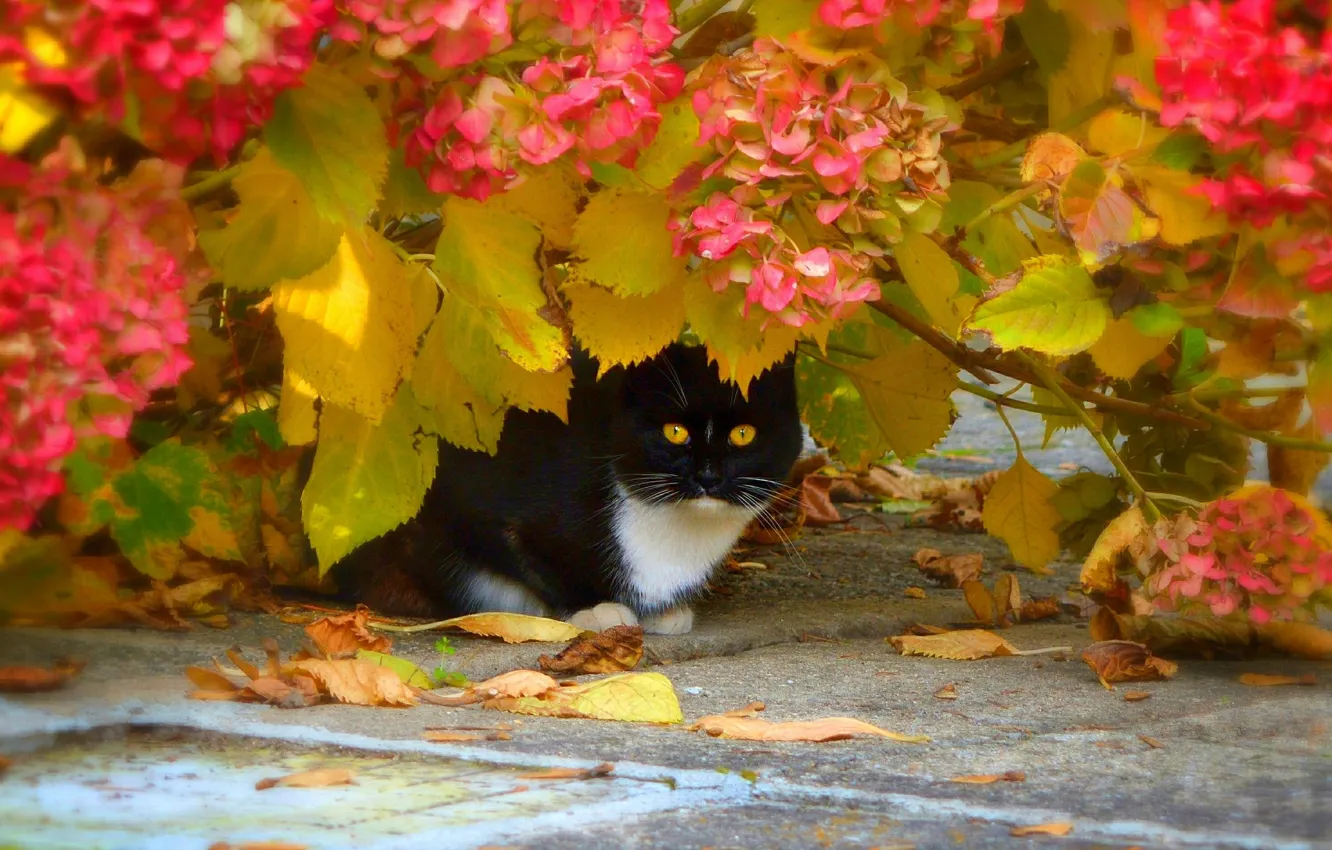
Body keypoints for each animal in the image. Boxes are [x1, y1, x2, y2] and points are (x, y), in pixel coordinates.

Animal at [338, 343, 804, 636]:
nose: (708, 476)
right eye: (675, 431)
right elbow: (532, 560)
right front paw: (593, 608)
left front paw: (663, 612)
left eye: (743, 433)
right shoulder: (484, 504)